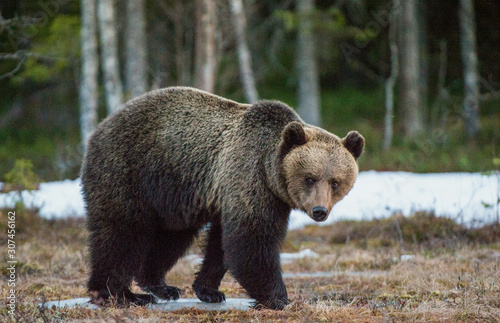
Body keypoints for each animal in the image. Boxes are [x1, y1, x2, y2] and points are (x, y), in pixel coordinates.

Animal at [82, 86, 364, 312]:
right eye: (310, 178)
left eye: (335, 181)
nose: (319, 211)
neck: (270, 172)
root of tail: (99, 128)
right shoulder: (250, 179)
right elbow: (251, 241)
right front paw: (279, 299)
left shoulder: (232, 194)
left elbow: (221, 245)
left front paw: (209, 290)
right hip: (127, 171)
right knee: (121, 233)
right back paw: (119, 294)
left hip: (173, 195)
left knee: (173, 235)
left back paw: (161, 286)